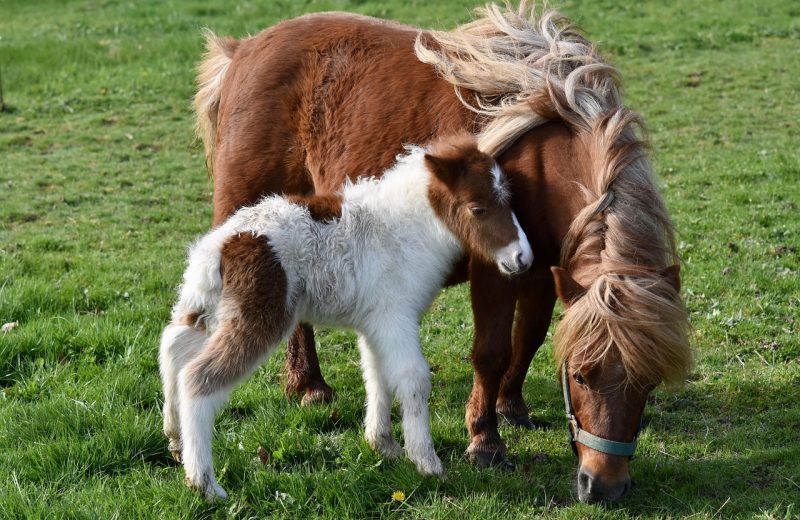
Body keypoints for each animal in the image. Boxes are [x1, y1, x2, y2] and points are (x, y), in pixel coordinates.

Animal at [159, 135, 533, 500]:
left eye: (510, 201)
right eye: (478, 209)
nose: (523, 258)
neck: (404, 230)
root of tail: (219, 247)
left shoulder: (375, 325)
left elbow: (377, 375)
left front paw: (384, 446)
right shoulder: (396, 317)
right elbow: (413, 378)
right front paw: (427, 462)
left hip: (204, 306)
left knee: (173, 347)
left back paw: (175, 440)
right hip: (260, 317)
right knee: (198, 378)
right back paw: (205, 483)